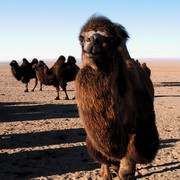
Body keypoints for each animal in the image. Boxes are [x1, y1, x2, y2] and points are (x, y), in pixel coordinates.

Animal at [75, 15, 159, 180]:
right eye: (81, 38)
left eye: (111, 39)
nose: (92, 39)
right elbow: (112, 162)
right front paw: (109, 173)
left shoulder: (138, 130)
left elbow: (126, 169)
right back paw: (104, 173)